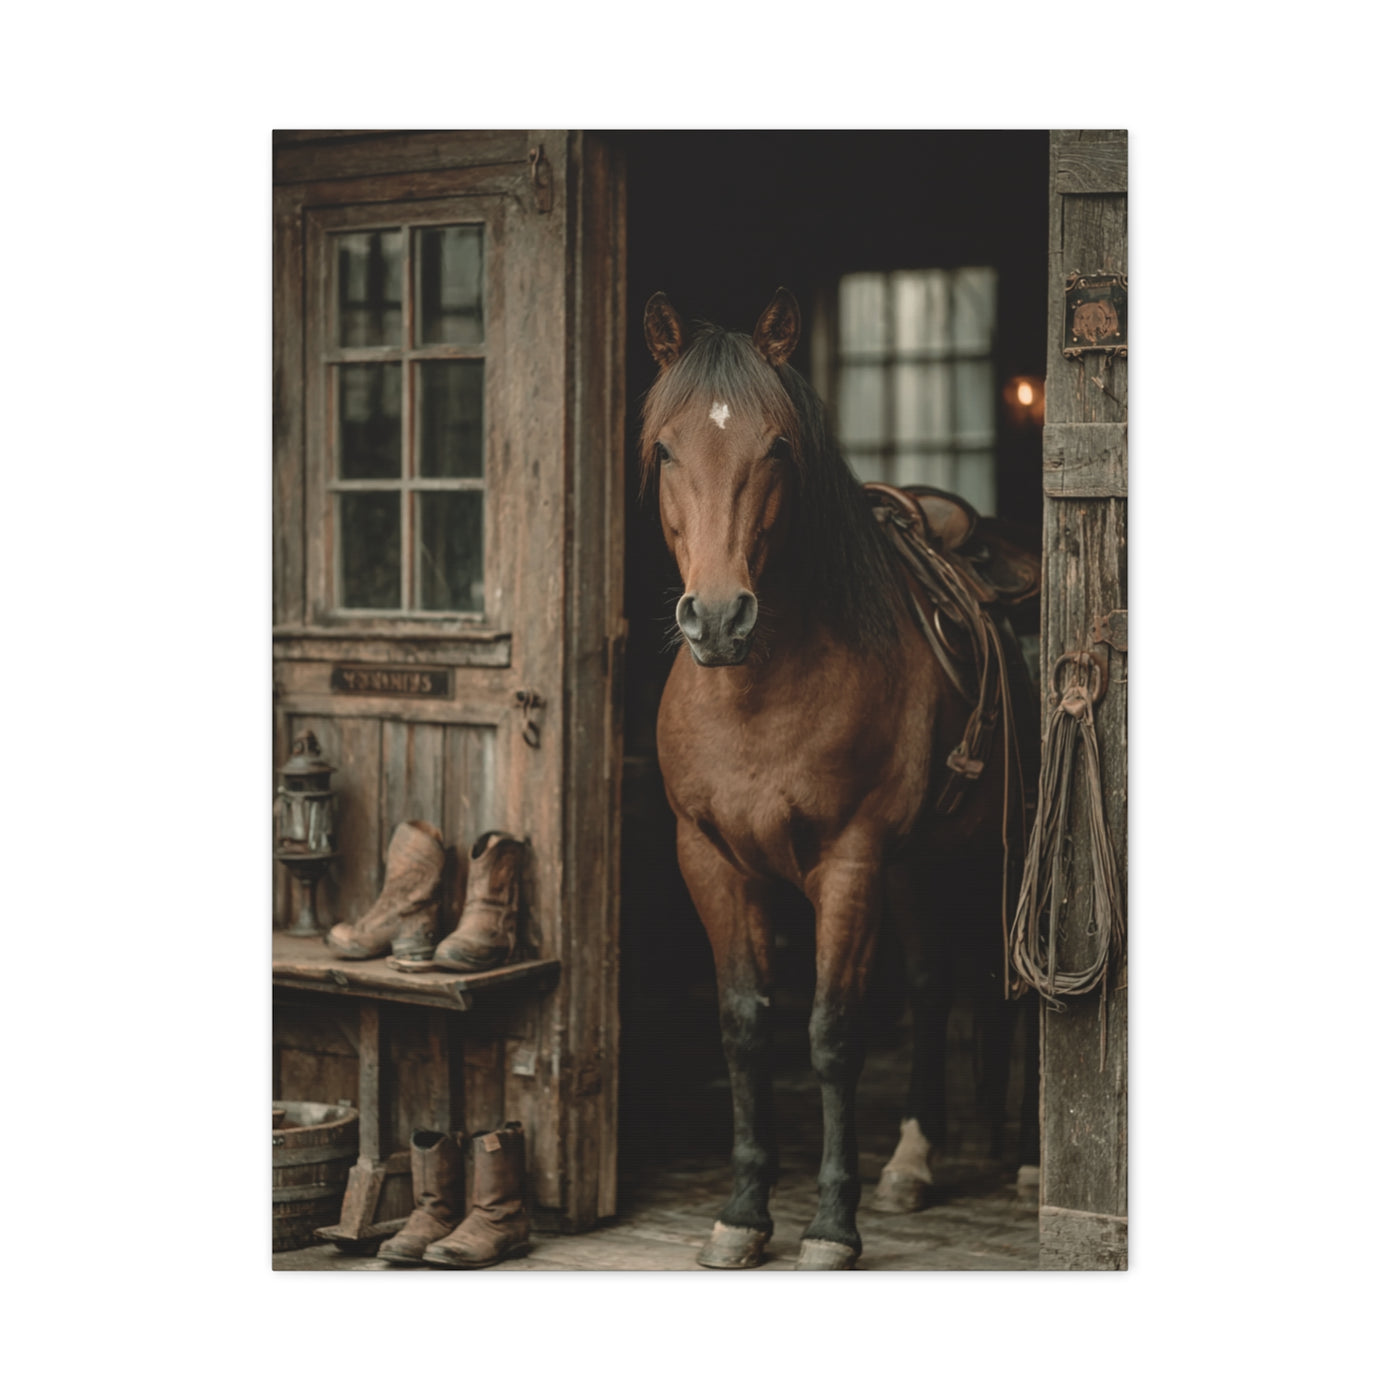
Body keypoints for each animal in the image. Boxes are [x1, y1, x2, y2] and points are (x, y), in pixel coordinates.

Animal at [641, 287, 1035, 1270]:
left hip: (1015, 854)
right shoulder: (711, 862)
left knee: (1028, 993)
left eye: (777, 447)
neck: (758, 690)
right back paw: (913, 1163)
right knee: (934, 985)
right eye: (665, 448)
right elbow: (746, 1025)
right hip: (919, 866)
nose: (717, 618)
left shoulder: (849, 865)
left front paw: (829, 1226)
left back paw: (1033, 1163)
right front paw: (743, 1214)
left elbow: (830, 1034)